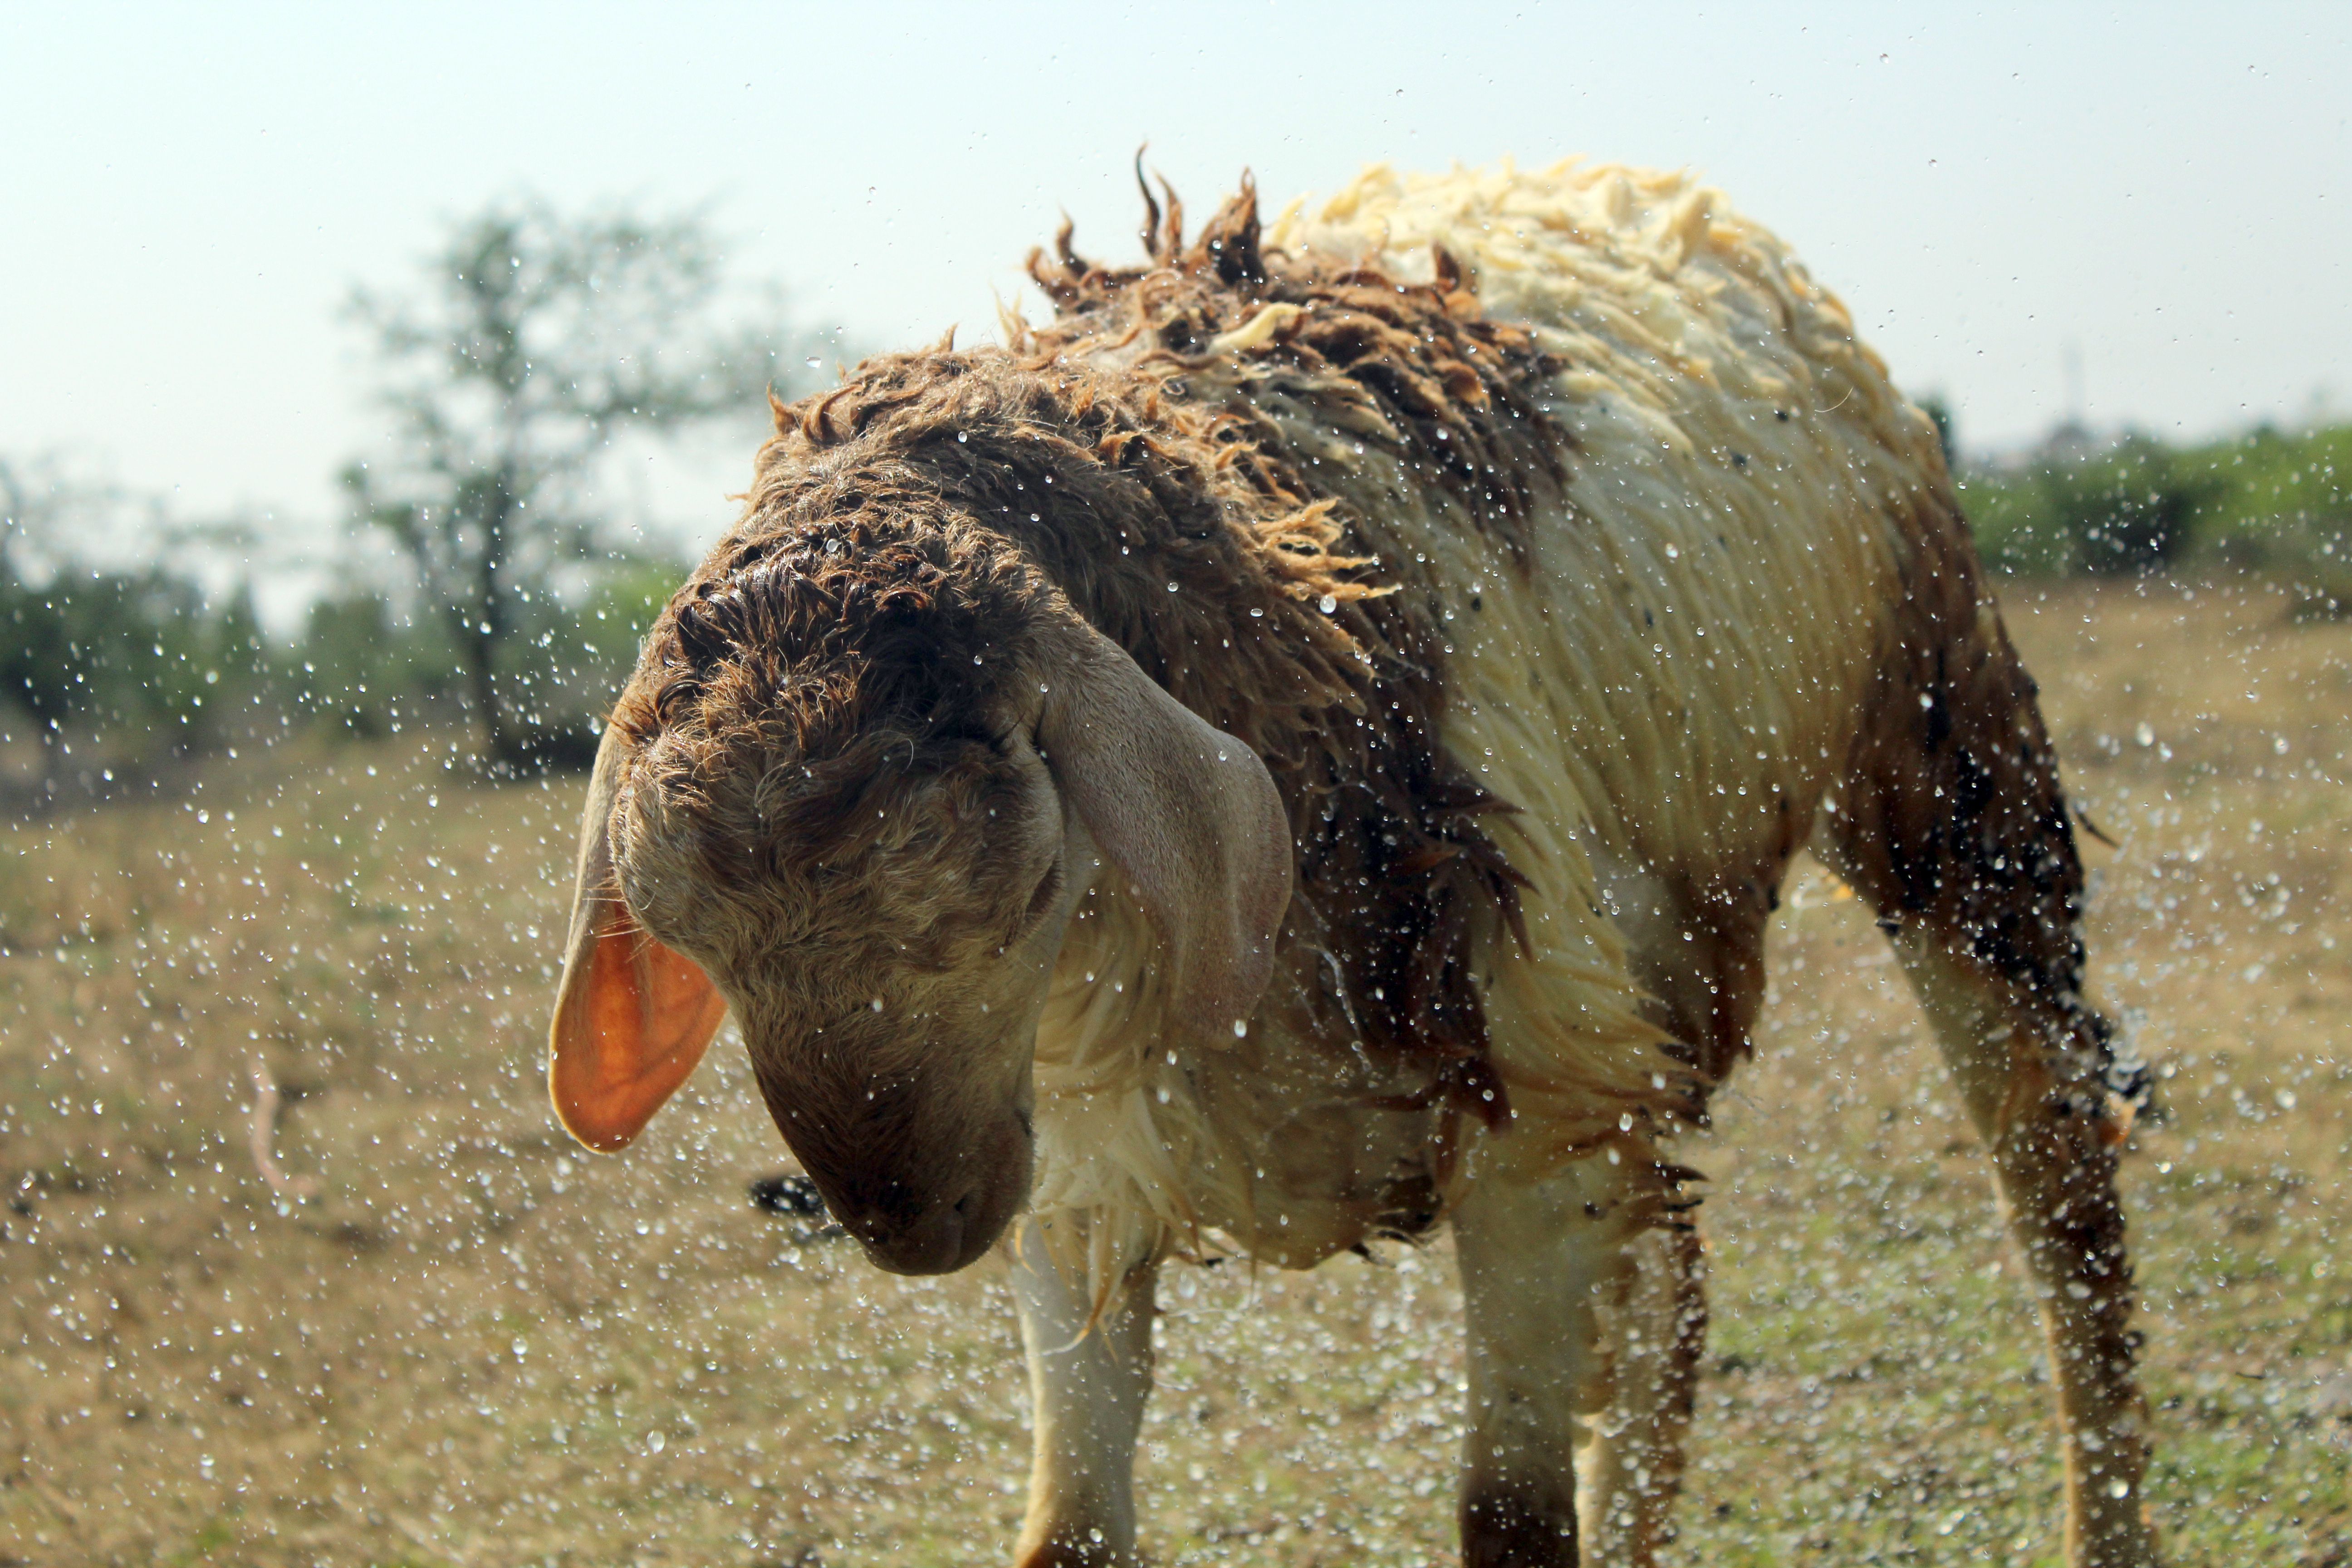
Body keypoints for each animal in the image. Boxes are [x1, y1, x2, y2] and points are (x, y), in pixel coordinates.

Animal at [547, 158, 2159, 1568]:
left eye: (1020, 892)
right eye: (694, 943)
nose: (909, 1225)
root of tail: (1636, 183)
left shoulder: (1531, 1116)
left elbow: (1510, 1525)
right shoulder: (1077, 1158)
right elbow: (1069, 1532)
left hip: (1944, 766)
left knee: (2058, 1188)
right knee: (1676, 1294)